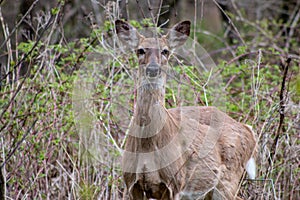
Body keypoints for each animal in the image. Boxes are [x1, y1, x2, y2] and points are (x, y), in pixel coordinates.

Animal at [116, 19, 256, 200]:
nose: (153, 69)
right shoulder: (131, 184)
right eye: (140, 50)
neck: (147, 145)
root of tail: (249, 129)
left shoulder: (175, 183)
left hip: (229, 181)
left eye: (165, 51)